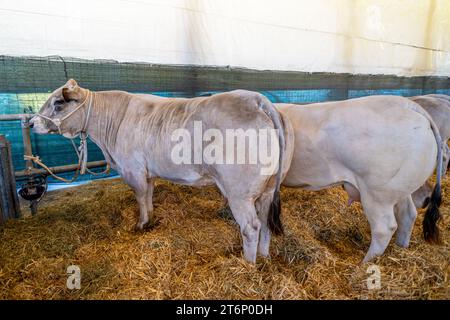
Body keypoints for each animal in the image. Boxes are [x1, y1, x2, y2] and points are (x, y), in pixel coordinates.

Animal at [278, 97, 442, 262]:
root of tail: (408, 105)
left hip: (377, 194)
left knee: (384, 228)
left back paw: (365, 263)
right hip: (399, 189)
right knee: (408, 215)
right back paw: (401, 247)